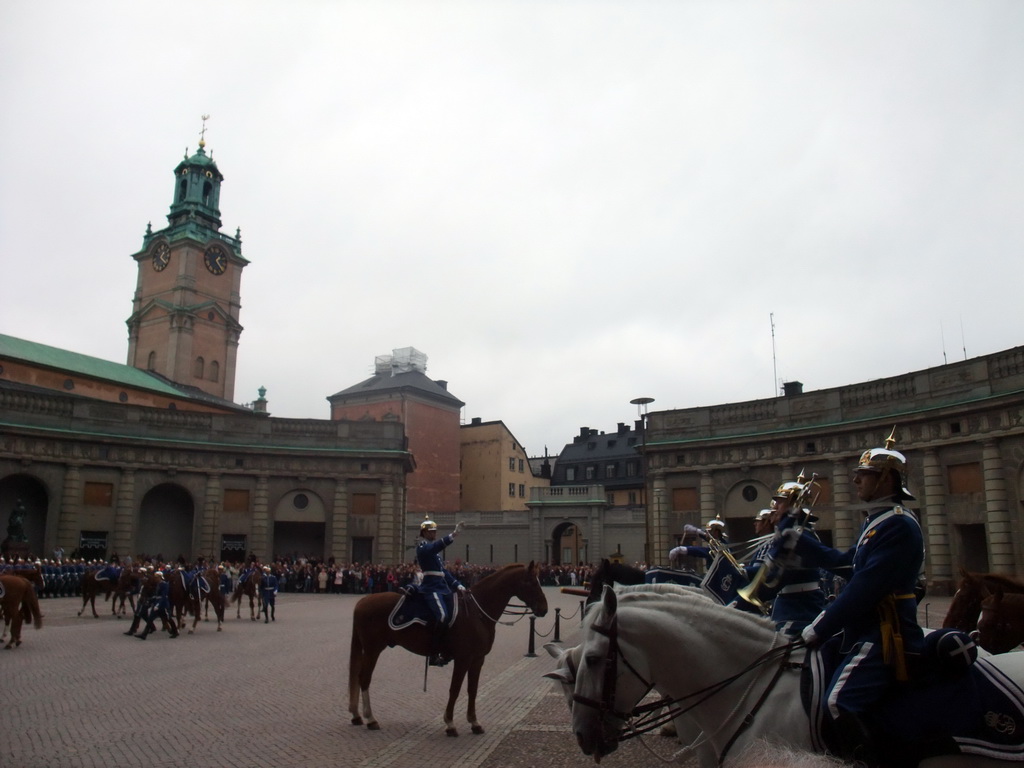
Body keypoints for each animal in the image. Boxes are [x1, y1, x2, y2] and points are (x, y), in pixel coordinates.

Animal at [348, 561, 548, 737]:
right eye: (531, 582)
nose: (544, 609)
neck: (477, 612)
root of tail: (362, 601)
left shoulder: (478, 659)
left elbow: (472, 689)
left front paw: (474, 722)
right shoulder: (463, 658)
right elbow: (455, 688)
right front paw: (450, 723)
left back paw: (358, 716)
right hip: (373, 649)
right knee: (364, 678)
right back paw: (371, 719)